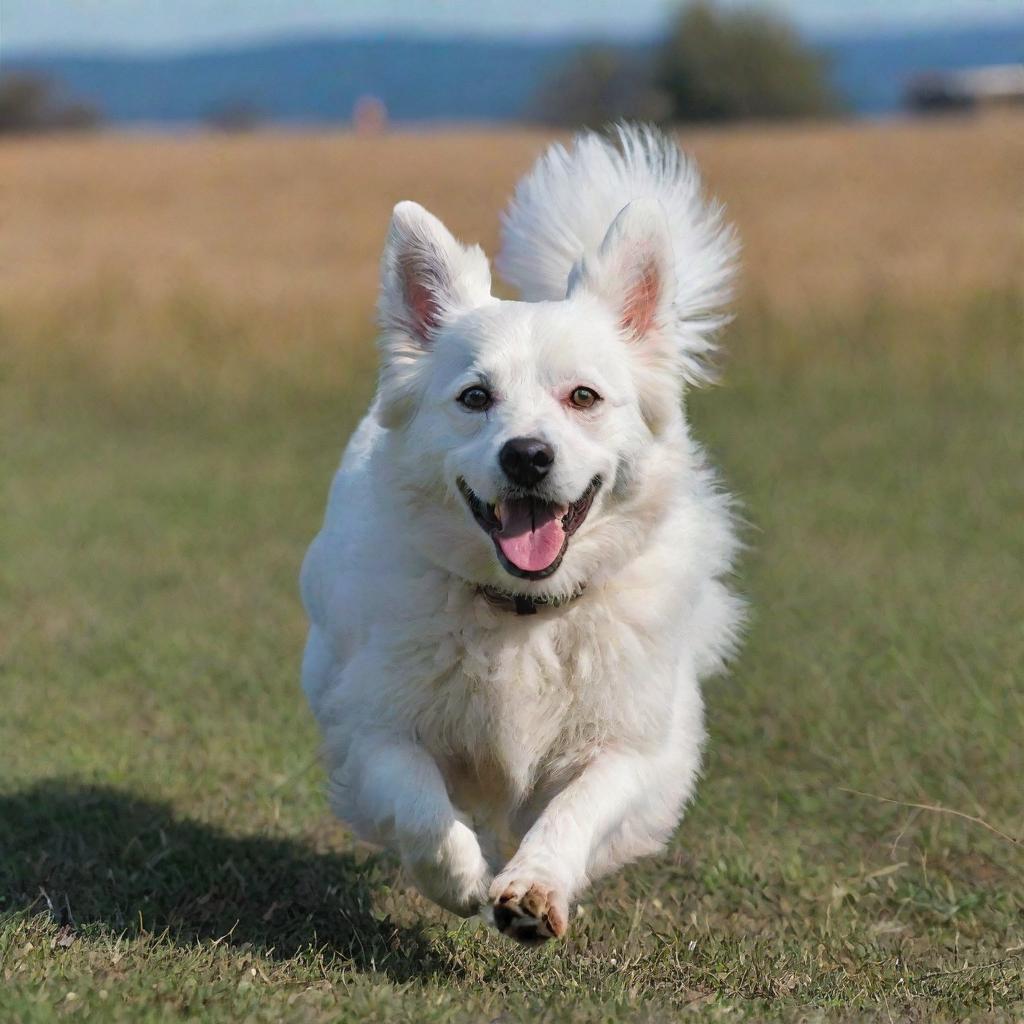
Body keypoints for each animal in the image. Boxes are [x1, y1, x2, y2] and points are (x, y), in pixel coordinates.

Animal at [299, 125, 741, 942]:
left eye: (584, 397)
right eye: (475, 397)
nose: (528, 456)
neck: (524, 614)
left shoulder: (635, 745)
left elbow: (578, 807)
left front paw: (533, 889)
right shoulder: (375, 726)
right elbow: (420, 806)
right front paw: (463, 880)